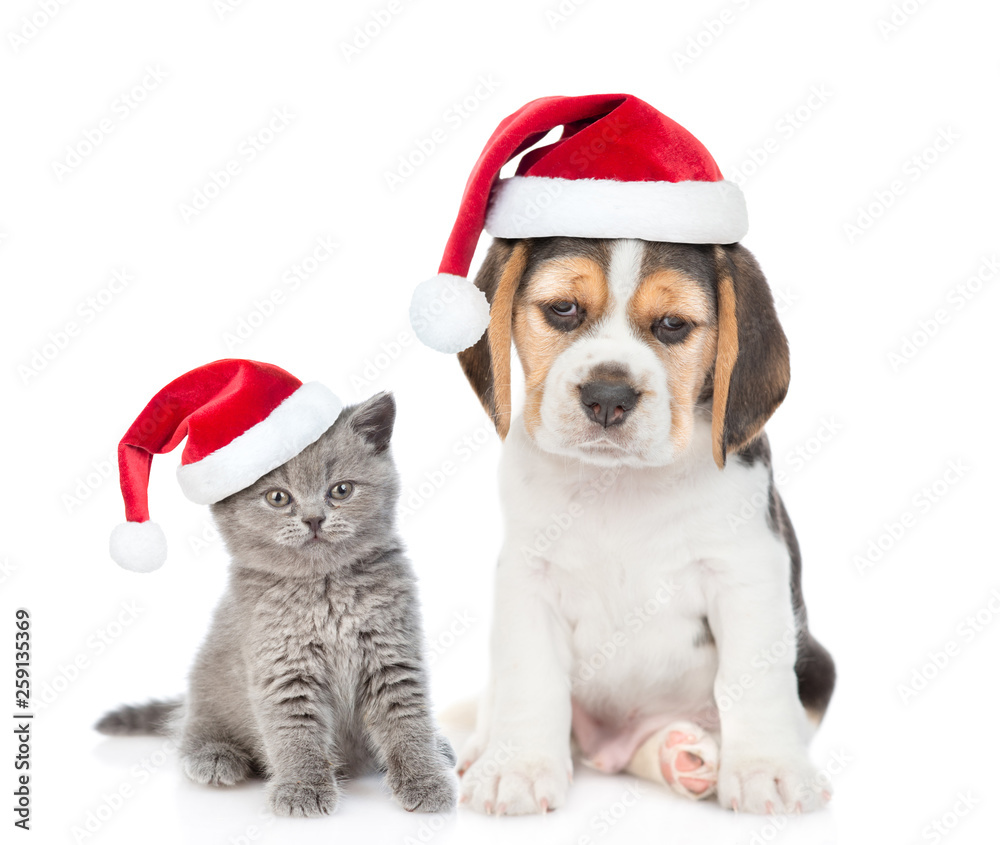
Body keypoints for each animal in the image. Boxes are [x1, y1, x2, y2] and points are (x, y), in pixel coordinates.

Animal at [95, 392, 456, 816]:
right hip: (206, 688)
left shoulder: (392, 655)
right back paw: (213, 756)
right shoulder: (283, 667)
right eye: (278, 497)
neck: (324, 591)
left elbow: (406, 722)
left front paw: (425, 779)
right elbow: (295, 732)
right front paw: (303, 788)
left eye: (341, 490)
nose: (314, 519)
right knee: (187, 728)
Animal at [454, 236, 836, 812]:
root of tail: (609, 746)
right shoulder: (527, 576)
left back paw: (687, 756)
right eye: (562, 309)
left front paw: (766, 769)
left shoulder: (747, 573)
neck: (620, 482)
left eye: (673, 324)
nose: (608, 397)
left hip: (815, 665)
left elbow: (754, 677)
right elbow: (530, 676)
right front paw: (518, 768)